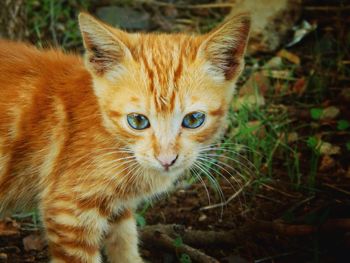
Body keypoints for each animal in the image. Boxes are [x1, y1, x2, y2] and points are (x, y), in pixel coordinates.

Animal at [0, 12, 252, 263]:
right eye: (137, 121)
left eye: (193, 120)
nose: (167, 160)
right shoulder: (68, 211)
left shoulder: (117, 207)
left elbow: (124, 238)